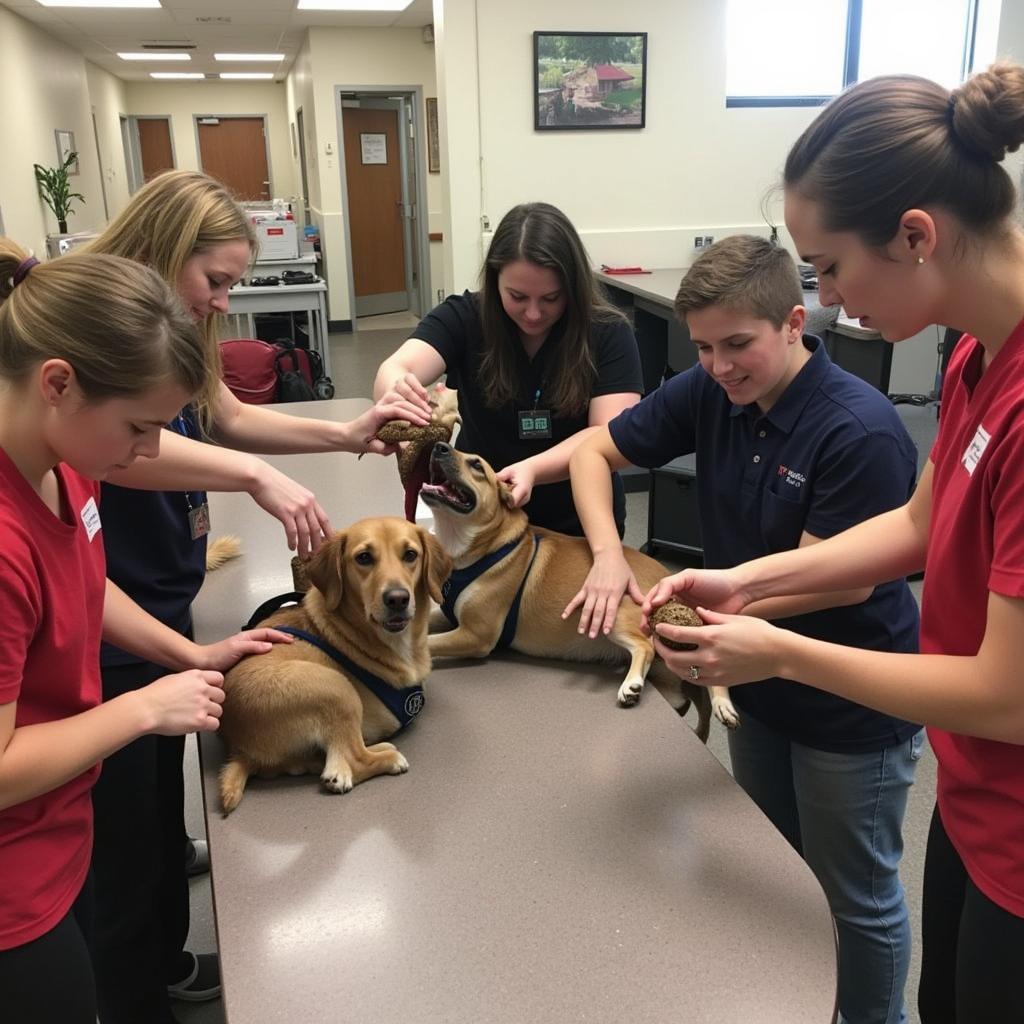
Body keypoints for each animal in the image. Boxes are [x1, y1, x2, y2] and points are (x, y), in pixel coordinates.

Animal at [218, 520, 450, 815]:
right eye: (364, 558)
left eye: (410, 555)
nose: (397, 599)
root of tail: (238, 748)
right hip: (336, 688)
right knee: (350, 761)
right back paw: (388, 757)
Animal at [419, 444, 708, 741]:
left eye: (477, 465)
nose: (439, 447)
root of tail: (667, 579)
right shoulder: (448, 617)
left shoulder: (476, 634)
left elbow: (429, 643)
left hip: (614, 615)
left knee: (645, 646)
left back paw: (631, 685)